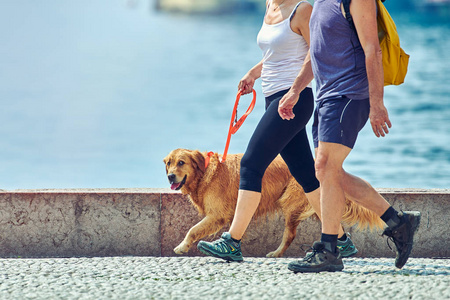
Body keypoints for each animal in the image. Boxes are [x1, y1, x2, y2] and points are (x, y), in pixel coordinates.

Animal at [163, 149, 384, 256]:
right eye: (169, 163)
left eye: (181, 162)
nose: (170, 176)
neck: (206, 173)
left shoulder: (218, 215)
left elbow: (193, 229)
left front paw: (182, 247)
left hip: (290, 202)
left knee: (290, 234)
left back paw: (277, 253)